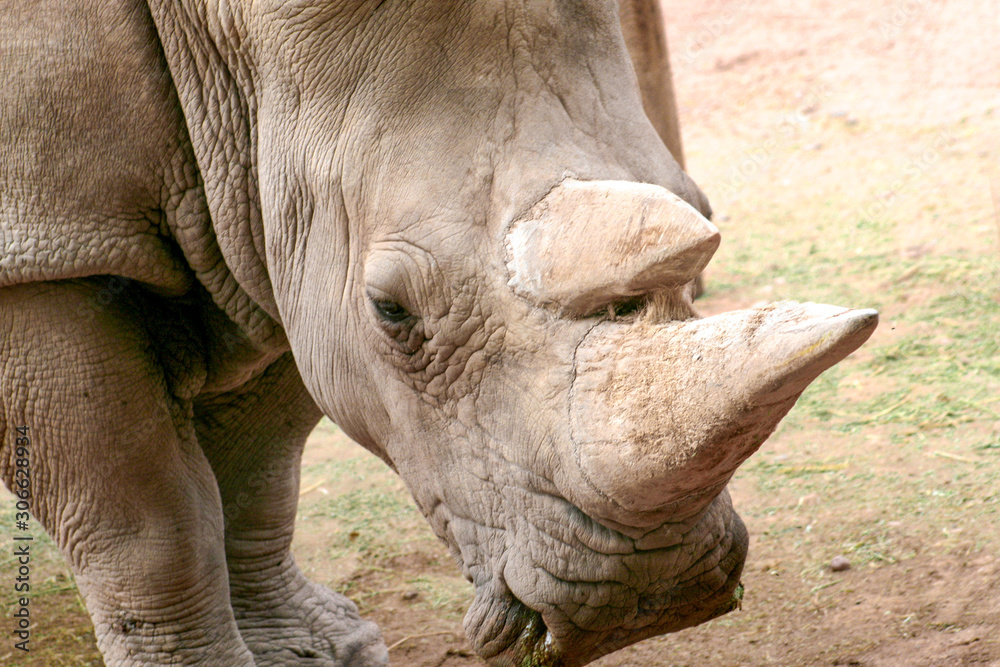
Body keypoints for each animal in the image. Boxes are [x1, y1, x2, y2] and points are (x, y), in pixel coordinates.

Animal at [0, 0, 877, 665]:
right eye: (392, 310)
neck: (228, 42)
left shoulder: (273, 211)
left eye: (698, 204)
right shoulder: (43, 255)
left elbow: (258, 469)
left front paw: (316, 653)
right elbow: (149, 525)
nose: (651, 596)